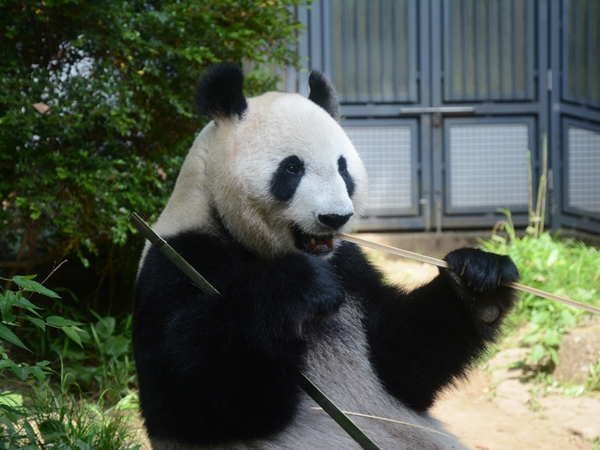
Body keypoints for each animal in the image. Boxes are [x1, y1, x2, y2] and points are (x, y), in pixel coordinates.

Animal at [134, 64, 516, 450]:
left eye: (342, 167)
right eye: (291, 168)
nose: (335, 217)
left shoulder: (350, 266)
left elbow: (402, 363)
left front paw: (477, 282)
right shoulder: (181, 258)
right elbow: (191, 395)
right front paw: (296, 287)